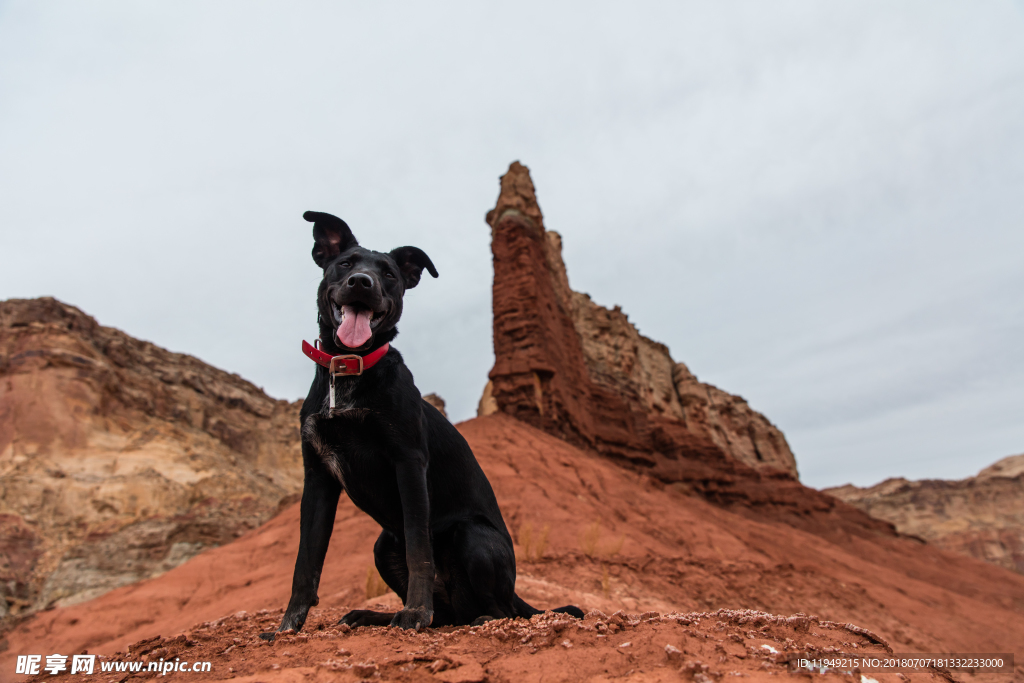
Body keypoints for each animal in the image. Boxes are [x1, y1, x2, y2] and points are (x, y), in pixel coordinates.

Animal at [262, 211, 585, 634]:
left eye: (388, 274)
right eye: (345, 264)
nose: (361, 283)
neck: (350, 370)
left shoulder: (409, 462)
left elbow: (419, 548)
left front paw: (415, 612)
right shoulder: (317, 478)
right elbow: (306, 563)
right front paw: (287, 628)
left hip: (471, 535)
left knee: (498, 610)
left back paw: (472, 617)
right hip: (384, 544)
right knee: (446, 615)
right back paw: (372, 616)